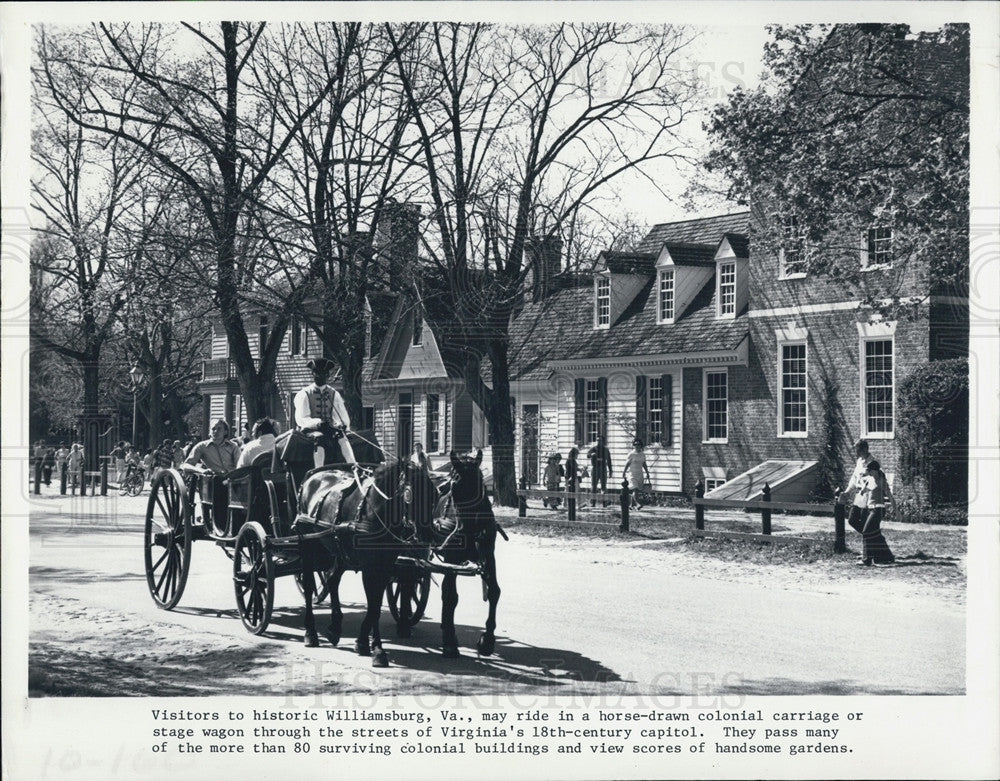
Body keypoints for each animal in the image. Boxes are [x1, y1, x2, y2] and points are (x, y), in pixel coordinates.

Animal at [294, 458, 440, 664]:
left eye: (434, 494)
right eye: (410, 494)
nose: (427, 536)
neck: (376, 510)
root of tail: (312, 477)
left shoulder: (385, 567)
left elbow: (375, 606)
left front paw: (365, 643)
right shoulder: (369, 568)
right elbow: (373, 606)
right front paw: (376, 649)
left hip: (341, 551)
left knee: (332, 580)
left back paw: (334, 628)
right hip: (308, 545)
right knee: (308, 586)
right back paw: (310, 632)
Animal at [436, 448, 504, 656]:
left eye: (479, 485)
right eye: (455, 486)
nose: (463, 532)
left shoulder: (488, 555)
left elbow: (494, 592)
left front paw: (488, 639)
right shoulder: (452, 559)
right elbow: (451, 596)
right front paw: (450, 640)